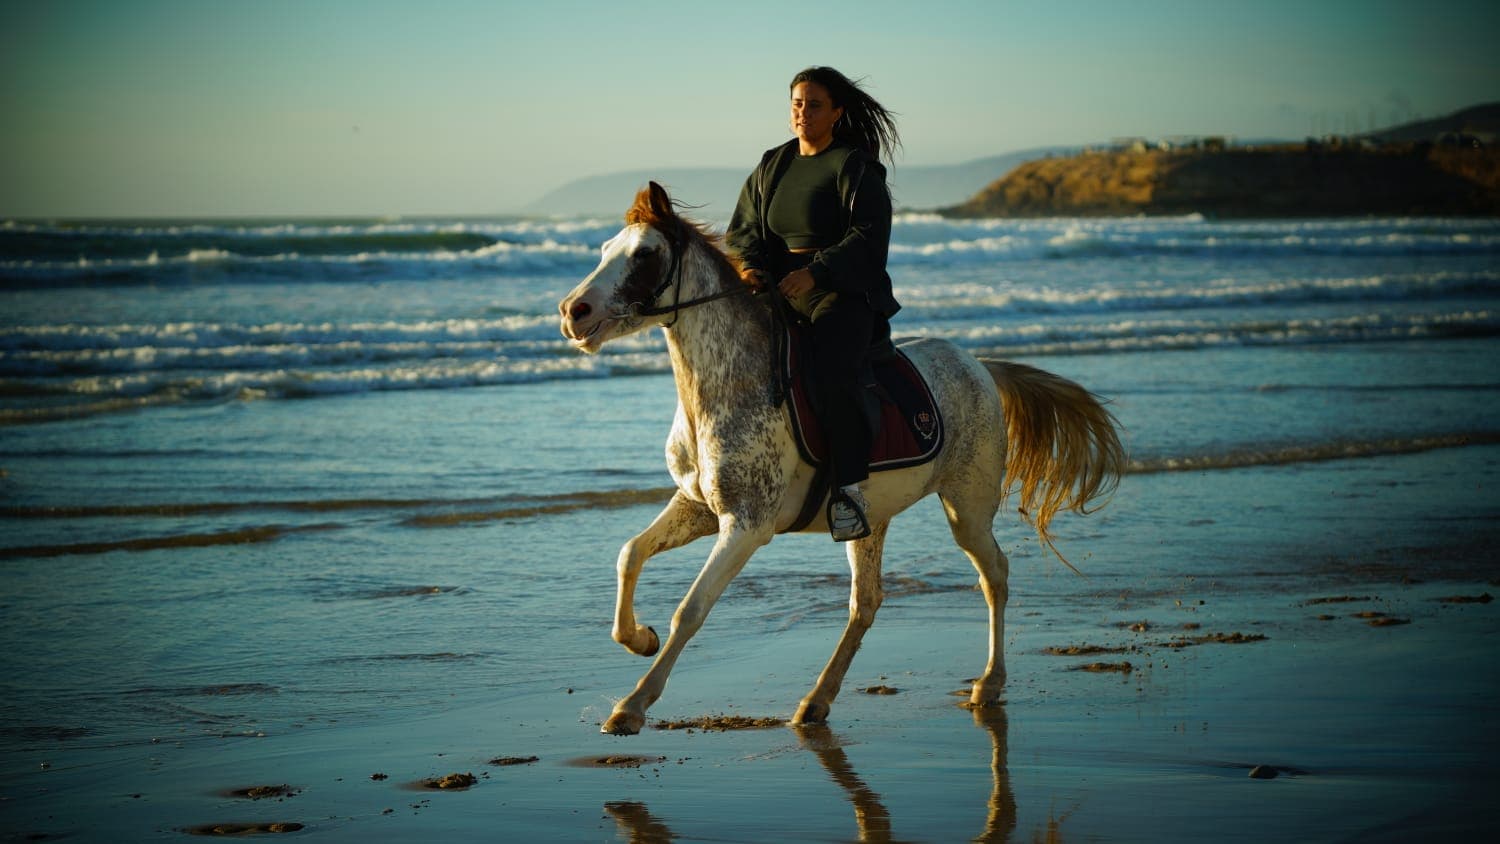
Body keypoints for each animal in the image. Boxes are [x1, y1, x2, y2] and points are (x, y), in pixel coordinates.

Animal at [559, 182, 1125, 736]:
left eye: (645, 254)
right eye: (605, 249)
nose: (571, 312)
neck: (730, 386)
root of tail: (979, 366)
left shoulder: (746, 525)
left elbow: (691, 609)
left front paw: (632, 706)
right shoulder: (699, 508)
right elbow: (630, 553)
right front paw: (639, 638)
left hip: (967, 506)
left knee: (995, 576)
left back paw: (988, 684)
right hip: (870, 520)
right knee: (866, 603)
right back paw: (817, 700)